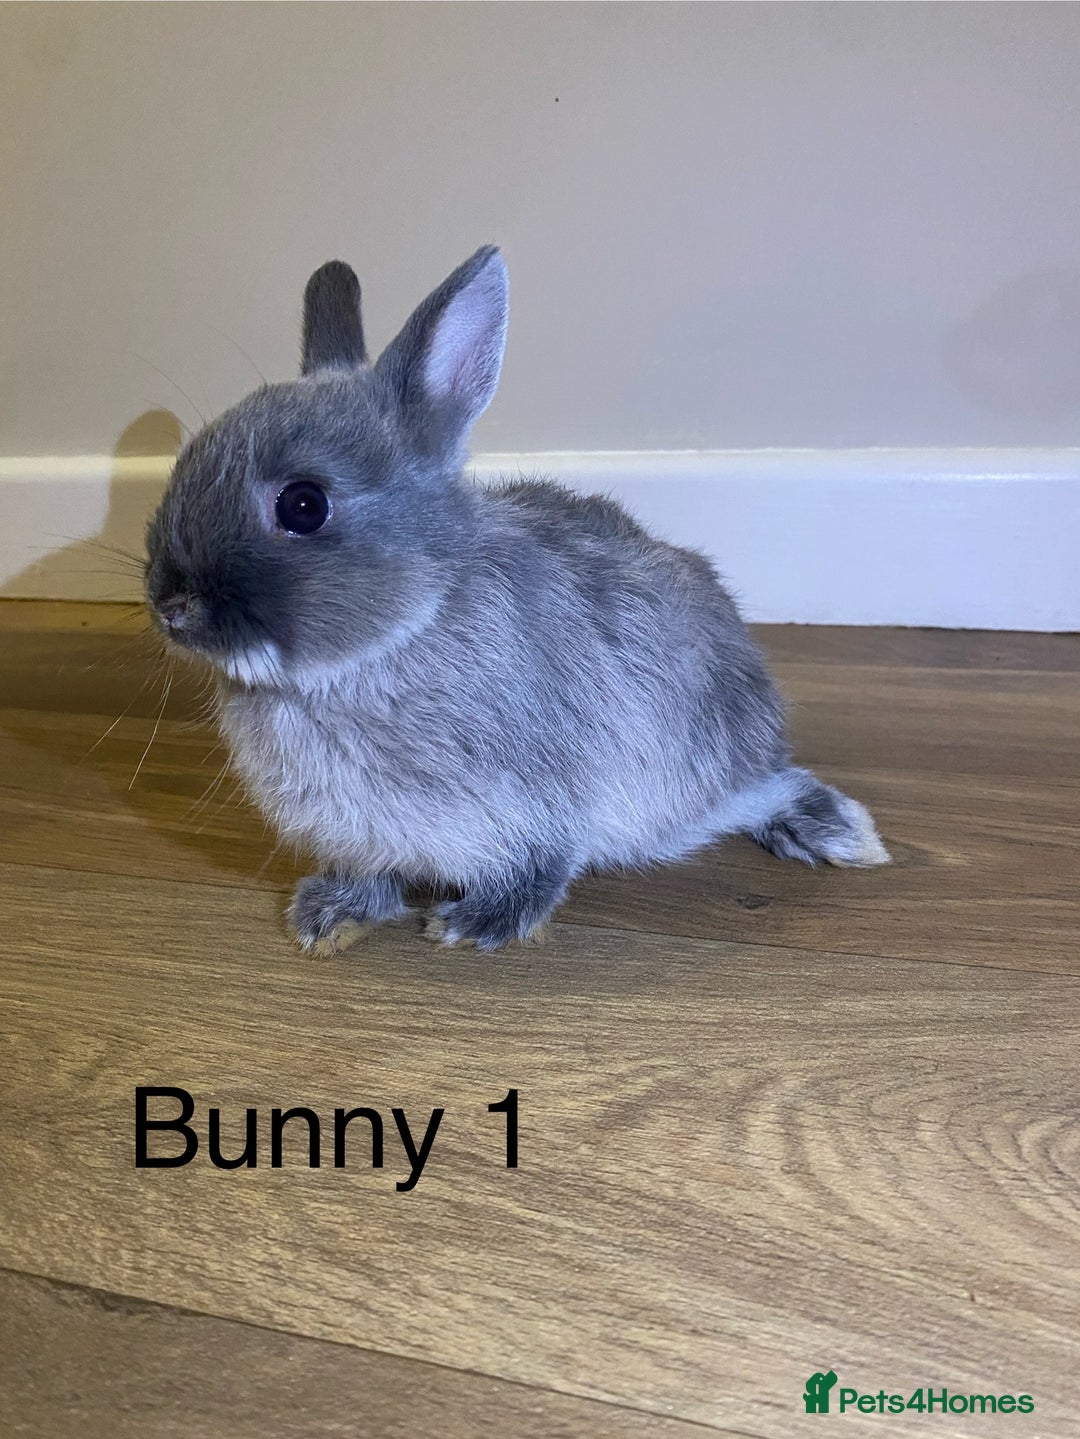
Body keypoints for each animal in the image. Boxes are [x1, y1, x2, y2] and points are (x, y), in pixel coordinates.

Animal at [145, 245, 888, 953]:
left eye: (303, 505)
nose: (170, 604)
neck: (402, 633)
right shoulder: (364, 835)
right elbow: (371, 875)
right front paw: (329, 918)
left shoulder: (544, 801)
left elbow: (541, 865)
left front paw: (475, 926)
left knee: (766, 789)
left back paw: (842, 834)